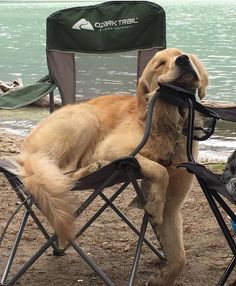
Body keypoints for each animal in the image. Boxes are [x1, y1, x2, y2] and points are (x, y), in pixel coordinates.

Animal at [15, 48, 208, 284]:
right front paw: (154, 202)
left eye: (182, 54)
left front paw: (161, 280)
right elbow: (160, 170)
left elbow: (180, 258)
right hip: (84, 118)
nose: (183, 60)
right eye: (160, 63)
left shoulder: (172, 207)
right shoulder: (112, 149)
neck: (168, 126)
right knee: (61, 173)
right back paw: (91, 168)